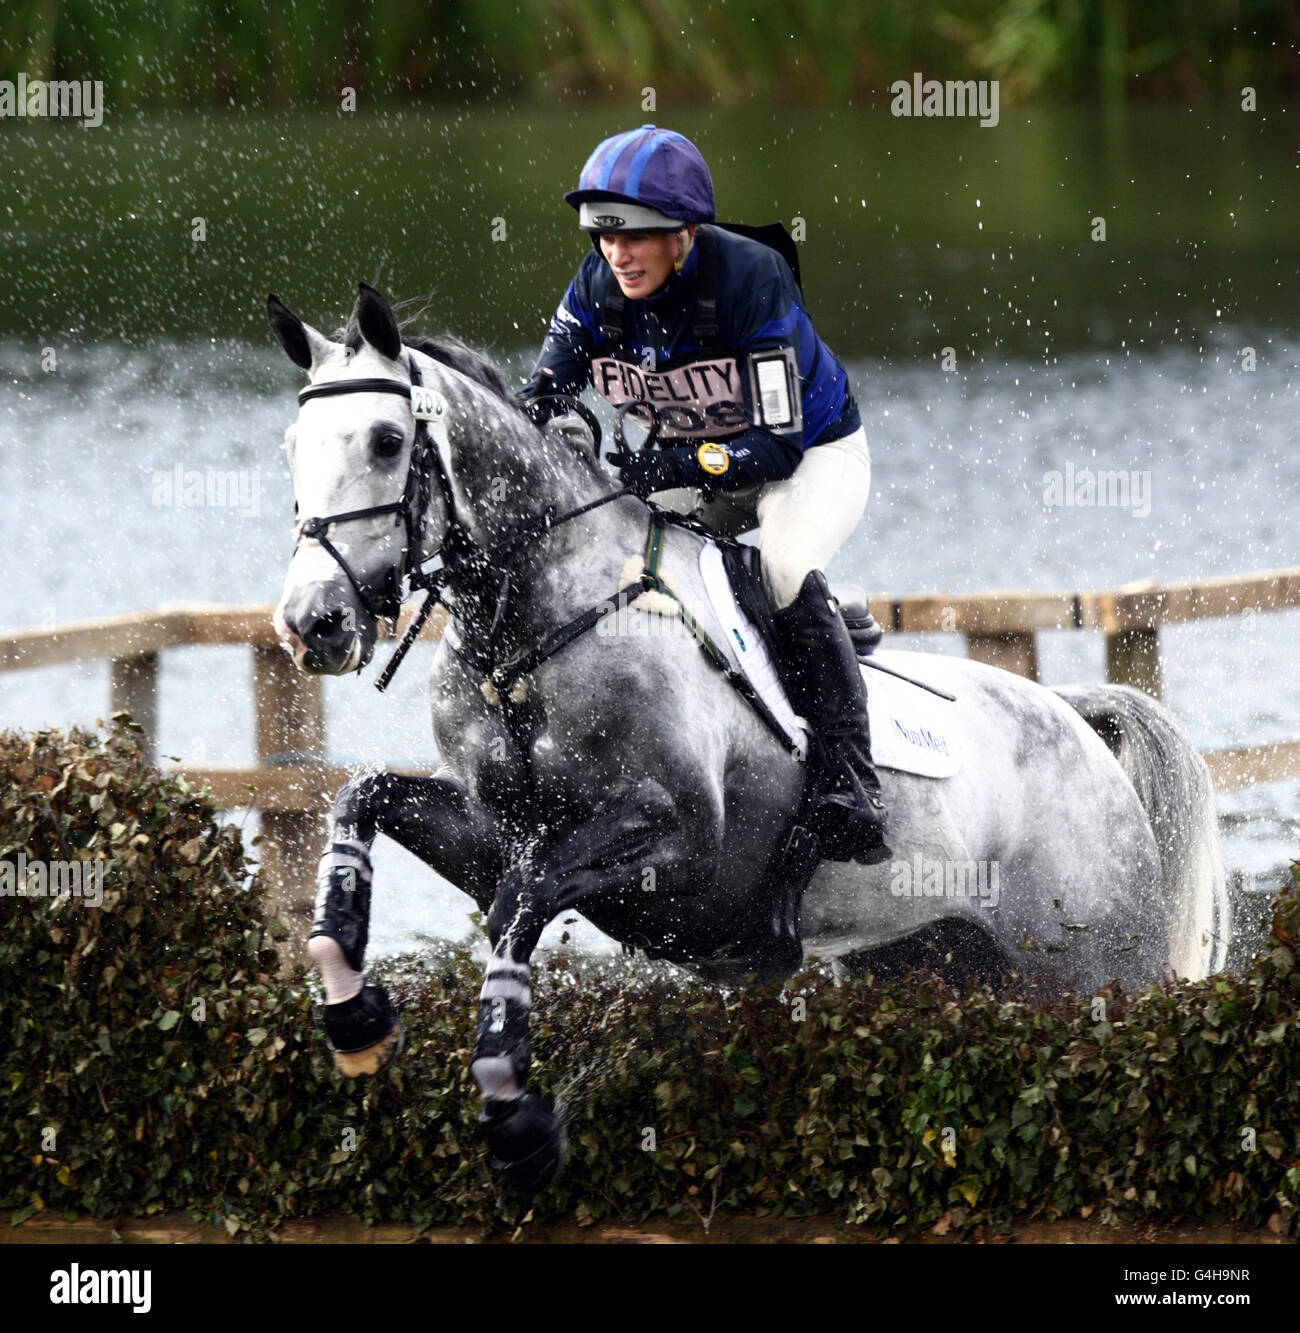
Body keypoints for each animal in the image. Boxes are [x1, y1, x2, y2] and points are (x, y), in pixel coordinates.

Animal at [267, 282, 1230, 1191]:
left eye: (387, 441)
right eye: (292, 448)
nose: (314, 623)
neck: (531, 628)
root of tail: (1076, 722)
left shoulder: (684, 845)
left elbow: (521, 898)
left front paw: (517, 1121)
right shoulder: (491, 829)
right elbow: (367, 800)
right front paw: (353, 1014)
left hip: (1096, 968)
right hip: (928, 965)